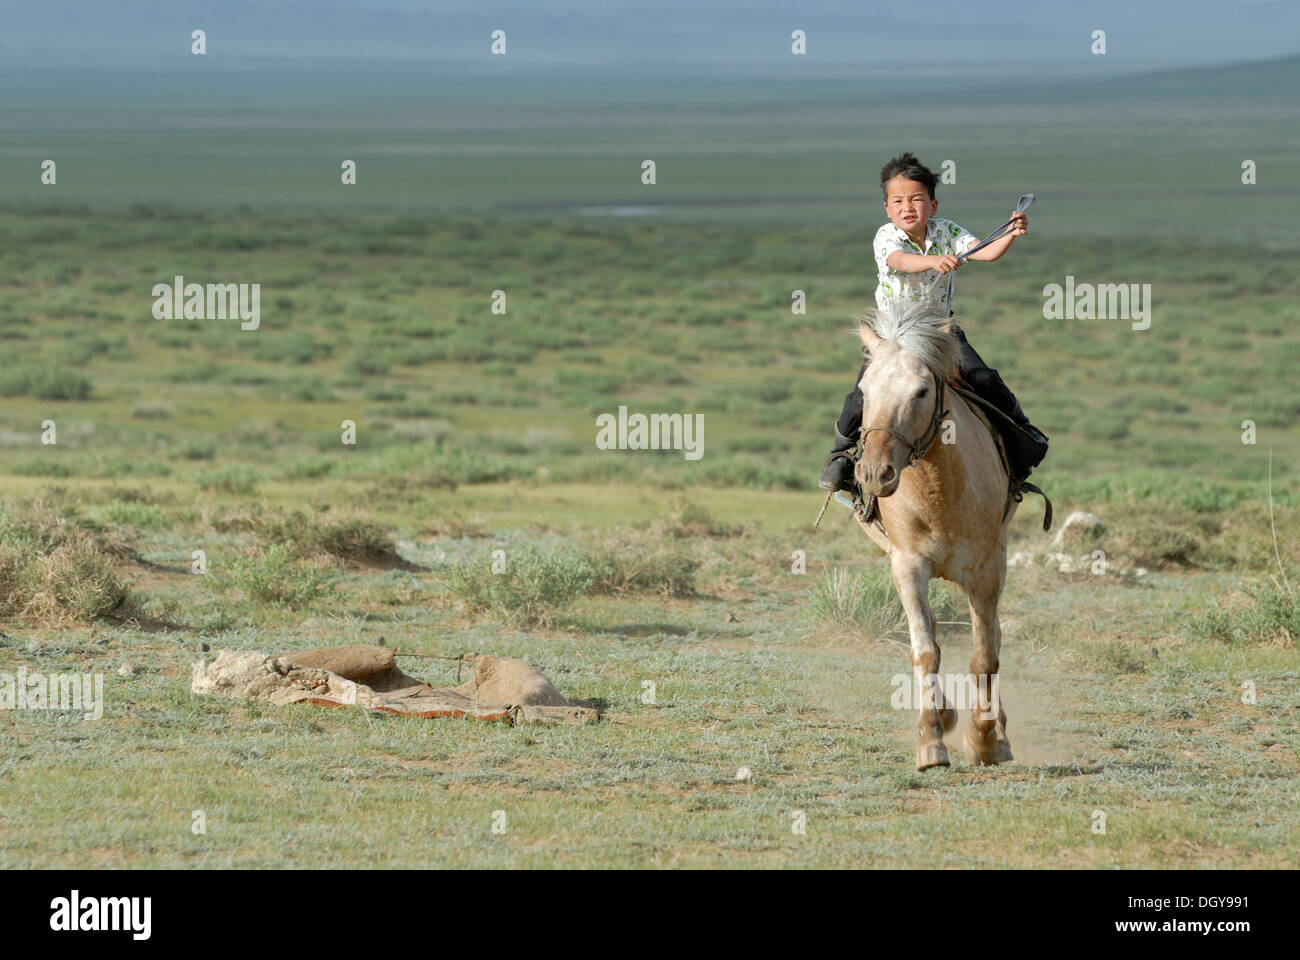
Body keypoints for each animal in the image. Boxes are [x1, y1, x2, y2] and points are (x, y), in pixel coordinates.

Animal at [857, 303, 1019, 764]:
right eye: (863, 390)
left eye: (921, 392)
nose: (874, 473)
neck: (938, 488)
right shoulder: (907, 567)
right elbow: (926, 650)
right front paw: (931, 739)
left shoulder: (986, 571)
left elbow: (985, 656)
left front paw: (984, 738)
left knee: (993, 637)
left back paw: (997, 729)